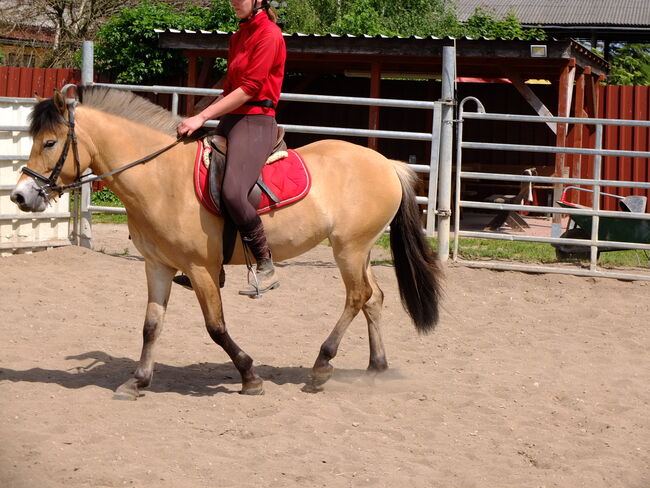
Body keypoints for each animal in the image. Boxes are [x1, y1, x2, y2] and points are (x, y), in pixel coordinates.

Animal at [10, 86, 440, 400]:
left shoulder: (200, 269)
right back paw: (376, 368)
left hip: (348, 249)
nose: (19, 196)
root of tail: (387, 164)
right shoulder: (158, 266)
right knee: (373, 298)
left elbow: (215, 327)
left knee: (356, 297)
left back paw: (322, 366)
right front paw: (137, 381)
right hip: (359, 249)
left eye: (50, 143)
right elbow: (151, 326)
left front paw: (250, 375)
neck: (161, 177)